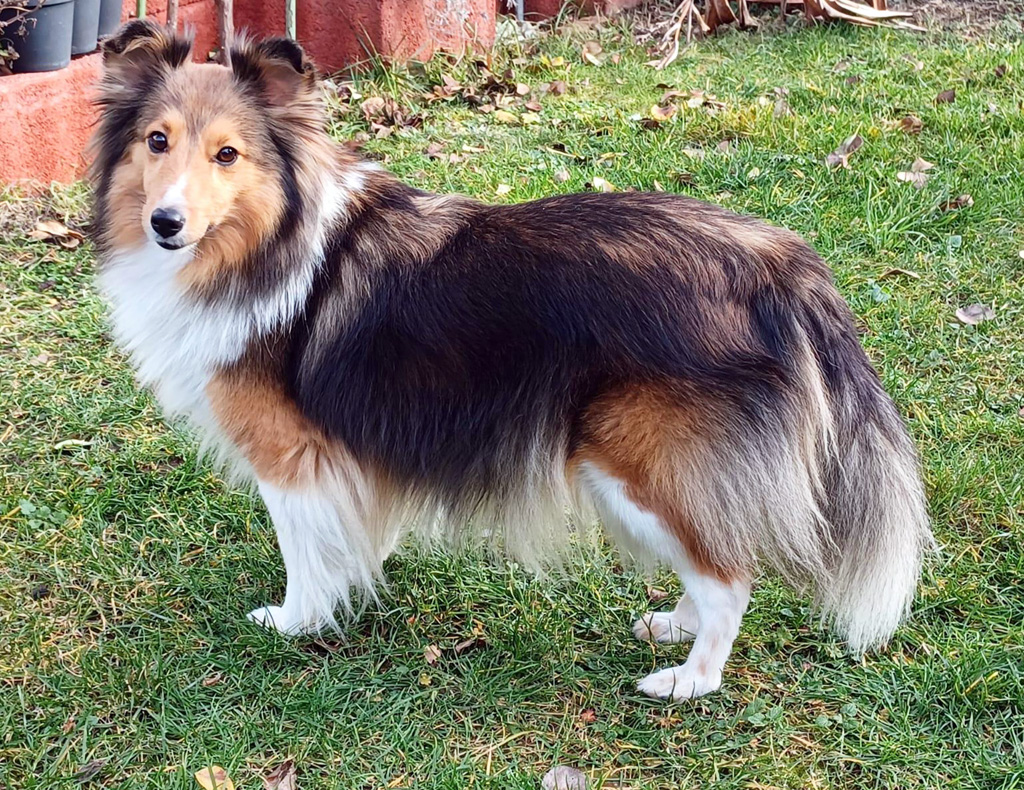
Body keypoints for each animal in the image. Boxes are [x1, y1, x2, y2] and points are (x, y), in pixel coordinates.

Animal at [90, 20, 932, 700]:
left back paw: (689, 680)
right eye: (156, 141)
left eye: (227, 154)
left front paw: (296, 621)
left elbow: (304, 554)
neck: (266, 243)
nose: (166, 223)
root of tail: (776, 265)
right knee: (714, 557)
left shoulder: (290, 456)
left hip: (638, 463)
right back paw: (673, 624)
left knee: (732, 578)